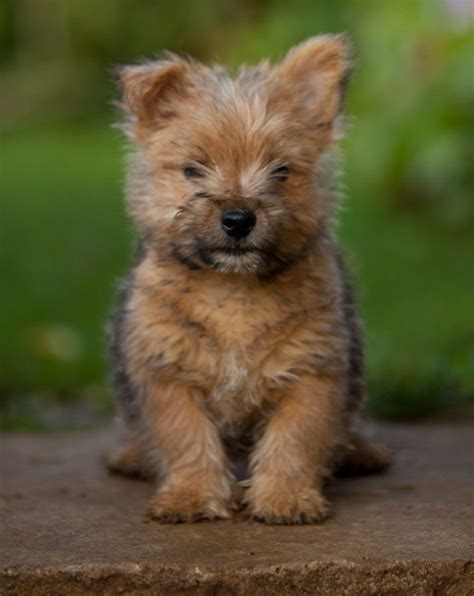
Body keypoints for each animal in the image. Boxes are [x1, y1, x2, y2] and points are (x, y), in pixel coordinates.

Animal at [109, 35, 390, 524]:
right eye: (193, 169)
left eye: (281, 170)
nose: (238, 218)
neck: (233, 291)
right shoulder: (167, 373)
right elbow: (185, 437)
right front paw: (191, 496)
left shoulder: (314, 371)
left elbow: (297, 437)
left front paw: (285, 498)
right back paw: (131, 455)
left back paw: (360, 451)